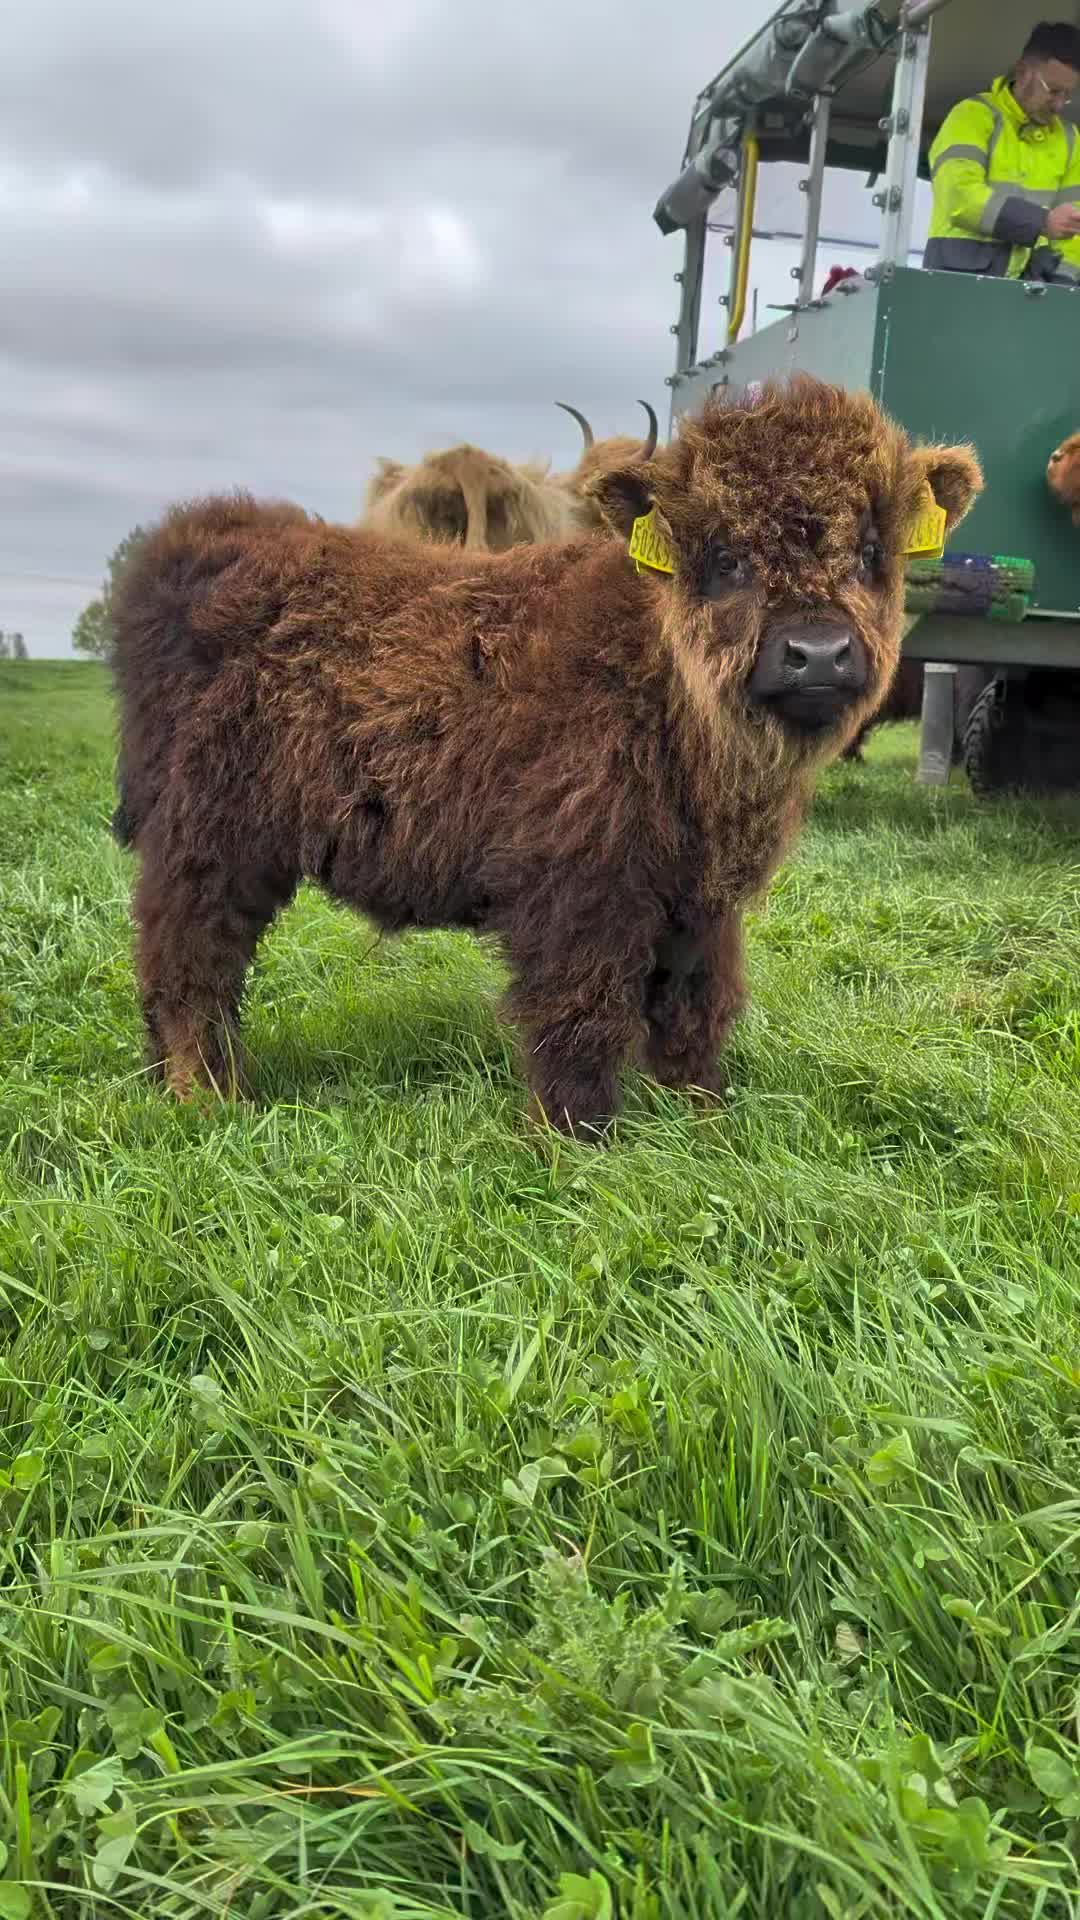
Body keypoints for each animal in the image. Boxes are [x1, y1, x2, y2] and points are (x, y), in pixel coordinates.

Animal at [109, 375, 981, 1137]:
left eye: (870, 549)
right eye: (726, 556)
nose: (817, 652)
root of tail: (206, 536)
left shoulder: (701, 900)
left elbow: (697, 1010)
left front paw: (702, 1125)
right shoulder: (577, 884)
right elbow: (582, 1014)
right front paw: (572, 1141)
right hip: (208, 836)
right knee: (188, 958)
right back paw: (207, 1093)